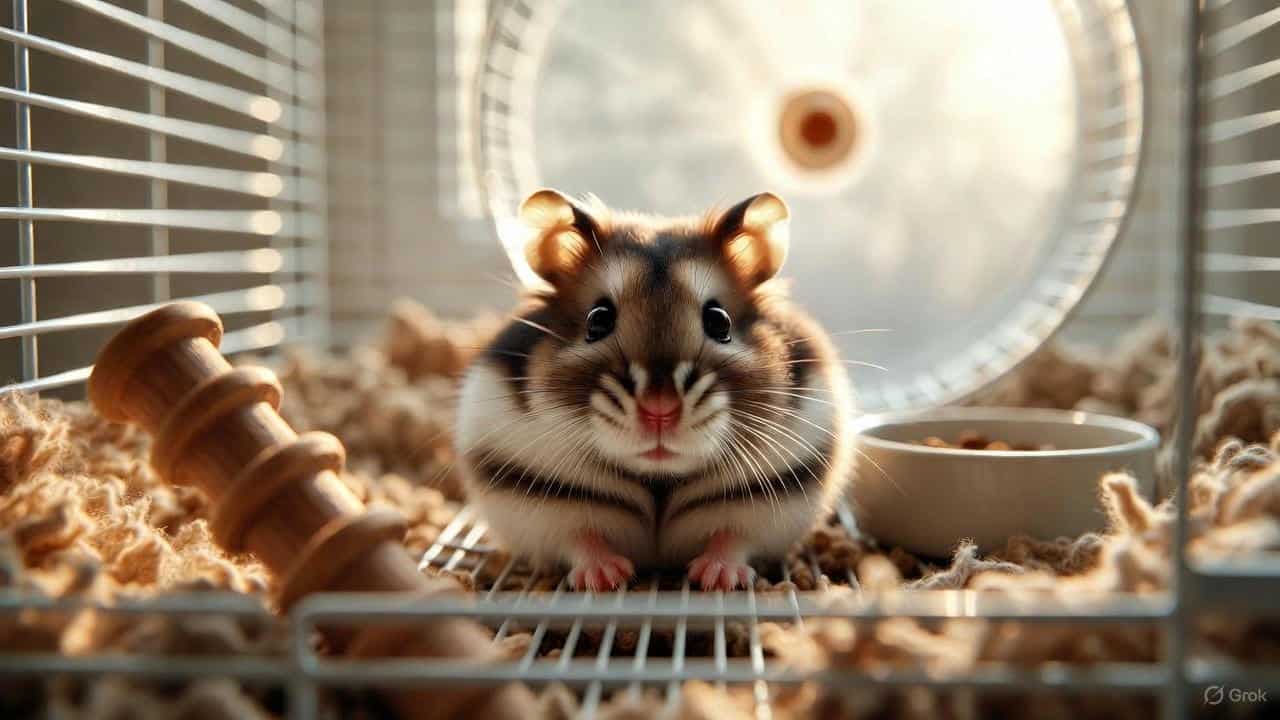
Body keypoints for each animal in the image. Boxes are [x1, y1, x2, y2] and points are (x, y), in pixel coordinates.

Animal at [455, 189, 855, 591]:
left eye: (720, 321)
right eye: (597, 319)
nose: (659, 411)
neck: (658, 482)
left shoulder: (767, 512)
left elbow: (732, 536)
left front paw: (717, 577)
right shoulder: (541, 513)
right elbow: (580, 537)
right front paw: (607, 577)